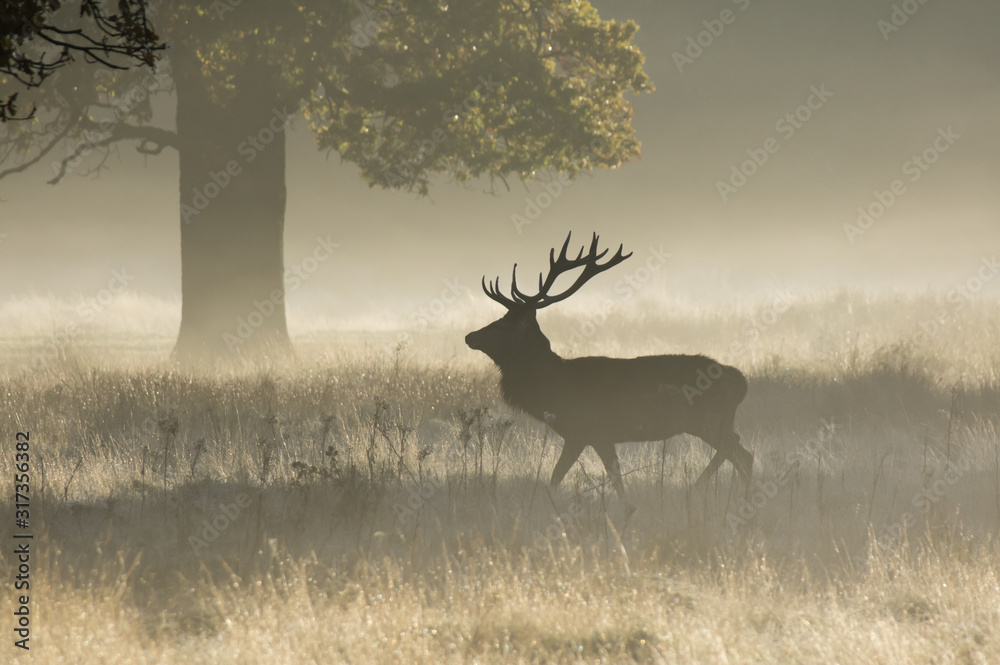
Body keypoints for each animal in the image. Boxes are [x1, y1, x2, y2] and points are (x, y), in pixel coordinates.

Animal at [465, 232, 753, 503]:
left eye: (501, 325)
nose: (469, 336)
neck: (553, 384)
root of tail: (741, 382)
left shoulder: (587, 429)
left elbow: (565, 476)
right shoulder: (594, 436)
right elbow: (607, 477)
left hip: (707, 419)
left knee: (740, 454)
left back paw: (704, 489)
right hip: (716, 422)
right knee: (739, 451)